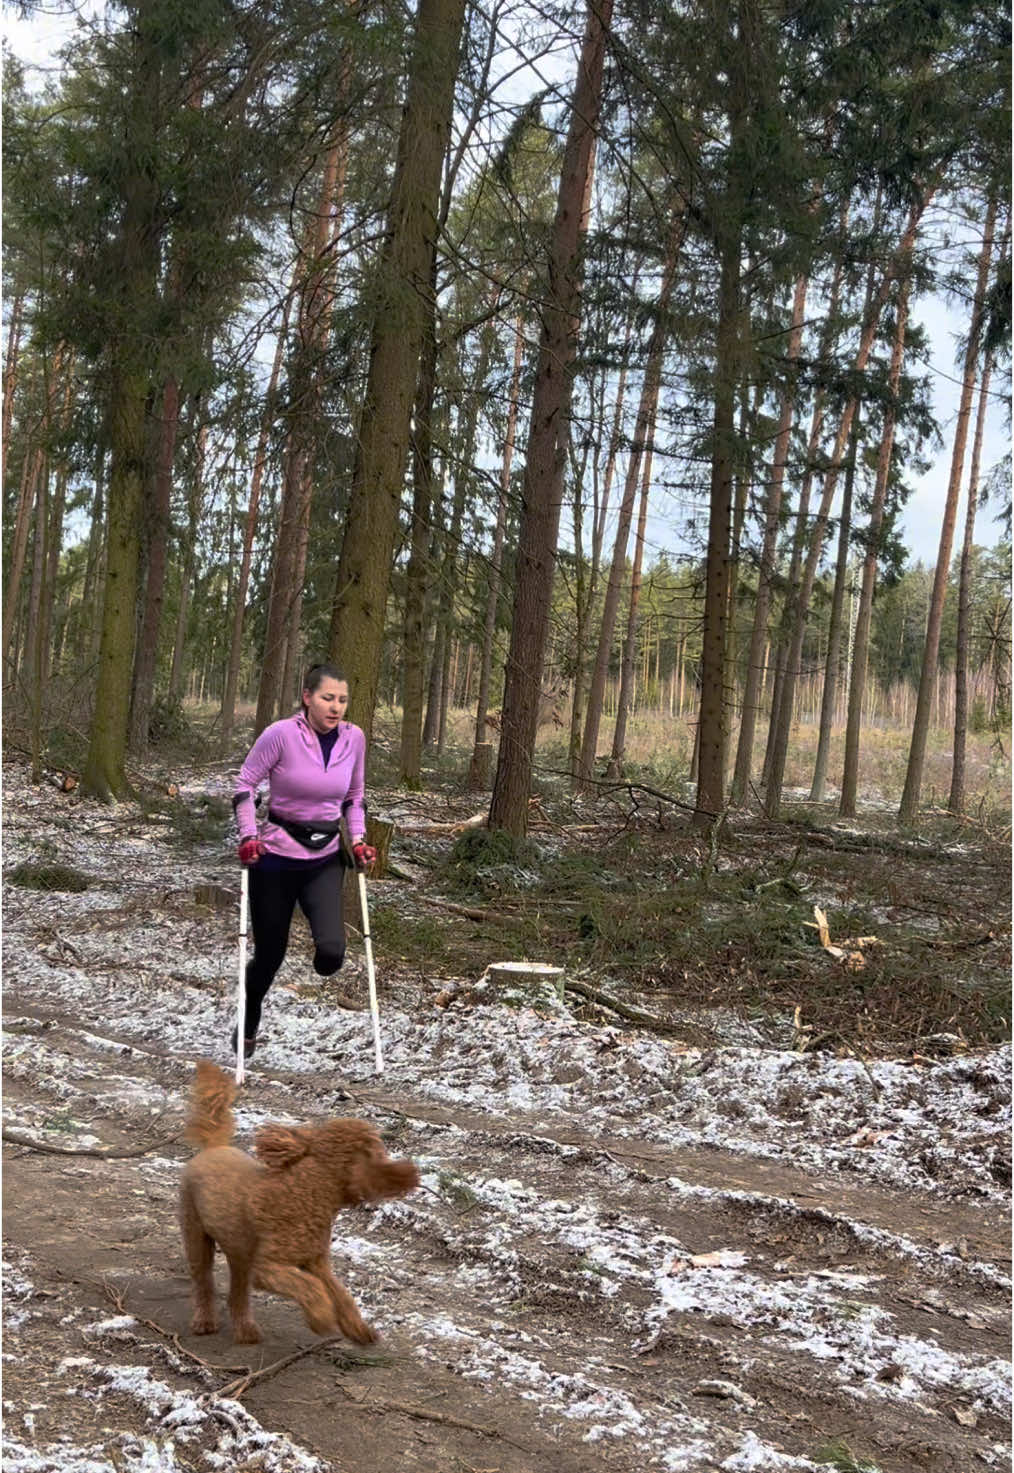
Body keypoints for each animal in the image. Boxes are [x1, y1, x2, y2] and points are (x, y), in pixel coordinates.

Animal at [179, 1060, 418, 1349]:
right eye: (377, 1155)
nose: (412, 1172)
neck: (308, 1193)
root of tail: (213, 1148)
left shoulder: (315, 1261)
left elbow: (340, 1293)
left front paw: (357, 1327)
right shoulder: (269, 1267)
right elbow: (309, 1288)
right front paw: (321, 1317)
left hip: (240, 1251)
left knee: (238, 1292)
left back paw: (245, 1329)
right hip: (196, 1235)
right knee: (203, 1281)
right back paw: (204, 1321)